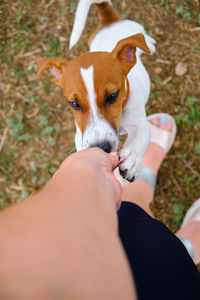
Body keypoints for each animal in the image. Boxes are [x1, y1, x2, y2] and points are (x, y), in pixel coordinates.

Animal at [36, 0, 155, 182]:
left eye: (112, 96)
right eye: (74, 104)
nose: (101, 147)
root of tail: (109, 21)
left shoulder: (140, 123)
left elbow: (139, 139)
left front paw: (131, 160)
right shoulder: (81, 133)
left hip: (135, 29)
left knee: (141, 35)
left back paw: (150, 42)